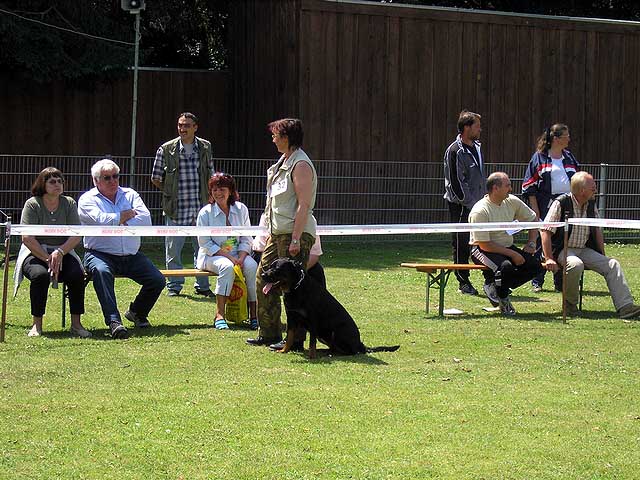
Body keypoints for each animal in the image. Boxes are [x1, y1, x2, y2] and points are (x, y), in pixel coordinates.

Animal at [262, 258, 400, 356]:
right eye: (269, 267)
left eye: (277, 269)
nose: (263, 275)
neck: (295, 288)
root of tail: (360, 344)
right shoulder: (291, 317)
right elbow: (290, 337)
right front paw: (284, 350)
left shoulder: (313, 320)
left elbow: (311, 342)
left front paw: (312, 356)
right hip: (323, 335)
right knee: (334, 348)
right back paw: (324, 352)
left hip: (336, 332)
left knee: (350, 351)